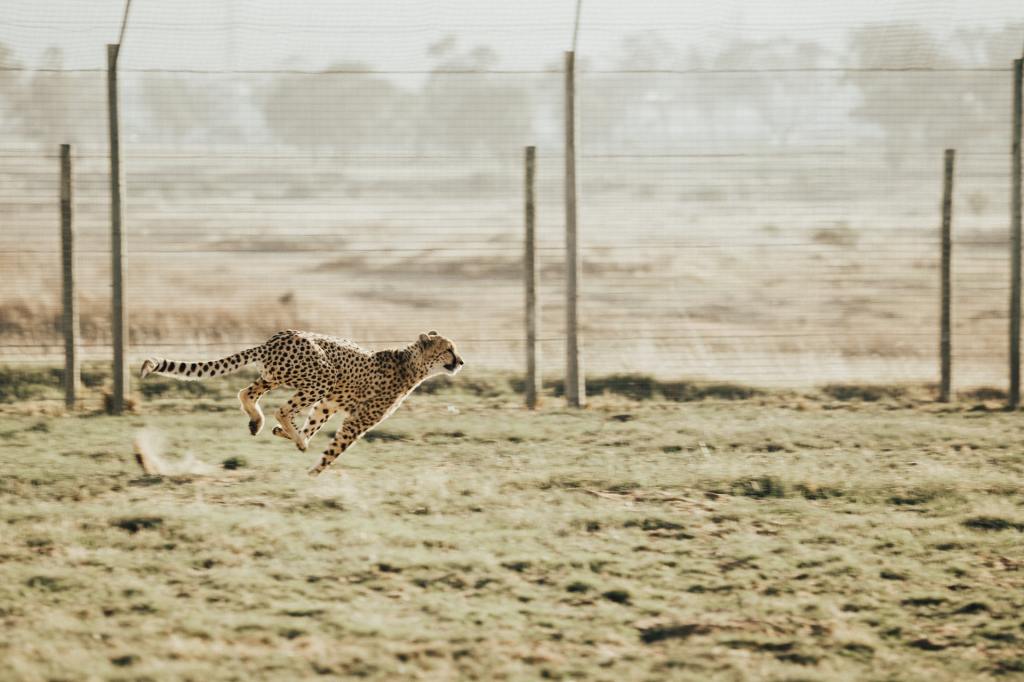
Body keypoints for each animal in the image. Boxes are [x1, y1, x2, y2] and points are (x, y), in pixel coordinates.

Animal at [139, 330, 464, 476]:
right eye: (448, 349)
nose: (461, 361)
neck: (411, 363)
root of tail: (276, 338)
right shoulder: (357, 420)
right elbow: (334, 448)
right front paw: (313, 472)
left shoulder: (329, 403)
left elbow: (315, 423)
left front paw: (292, 437)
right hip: (322, 375)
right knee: (281, 408)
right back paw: (289, 434)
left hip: (278, 376)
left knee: (247, 393)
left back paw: (261, 423)